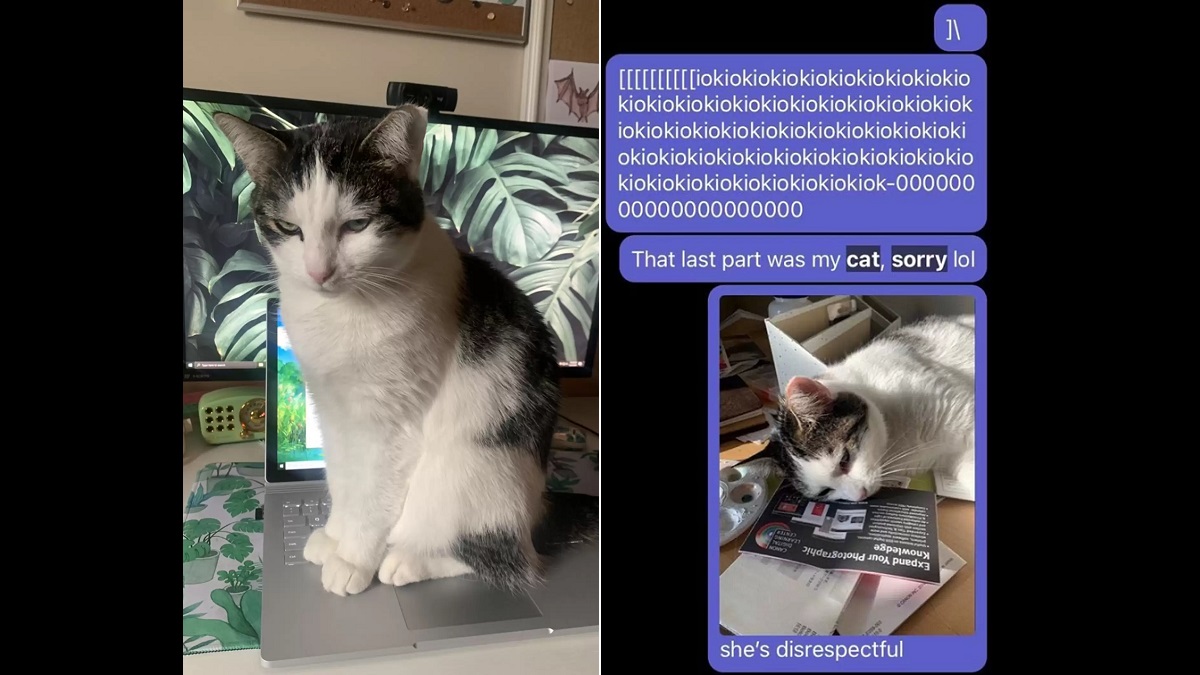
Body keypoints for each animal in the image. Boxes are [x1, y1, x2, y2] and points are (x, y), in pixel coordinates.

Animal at [214, 105, 595, 593]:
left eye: (357, 225)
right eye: (288, 228)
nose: (318, 272)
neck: (343, 312)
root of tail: (538, 510)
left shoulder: (390, 425)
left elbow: (372, 497)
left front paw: (353, 558)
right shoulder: (331, 409)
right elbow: (343, 480)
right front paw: (335, 536)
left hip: (466, 474)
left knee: (504, 559)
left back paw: (408, 560)